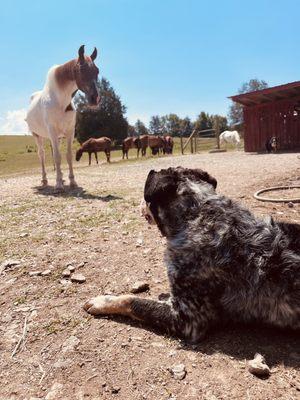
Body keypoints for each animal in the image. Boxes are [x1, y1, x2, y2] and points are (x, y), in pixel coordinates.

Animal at [26, 46, 101, 190]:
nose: (95, 99)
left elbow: (68, 156)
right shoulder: (52, 131)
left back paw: (61, 177)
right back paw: (45, 180)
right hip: (37, 136)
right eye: (81, 69)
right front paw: (58, 185)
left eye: (97, 71)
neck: (60, 101)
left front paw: (72, 181)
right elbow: (56, 156)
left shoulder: (70, 131)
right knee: (42, 155)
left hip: (58, 137)